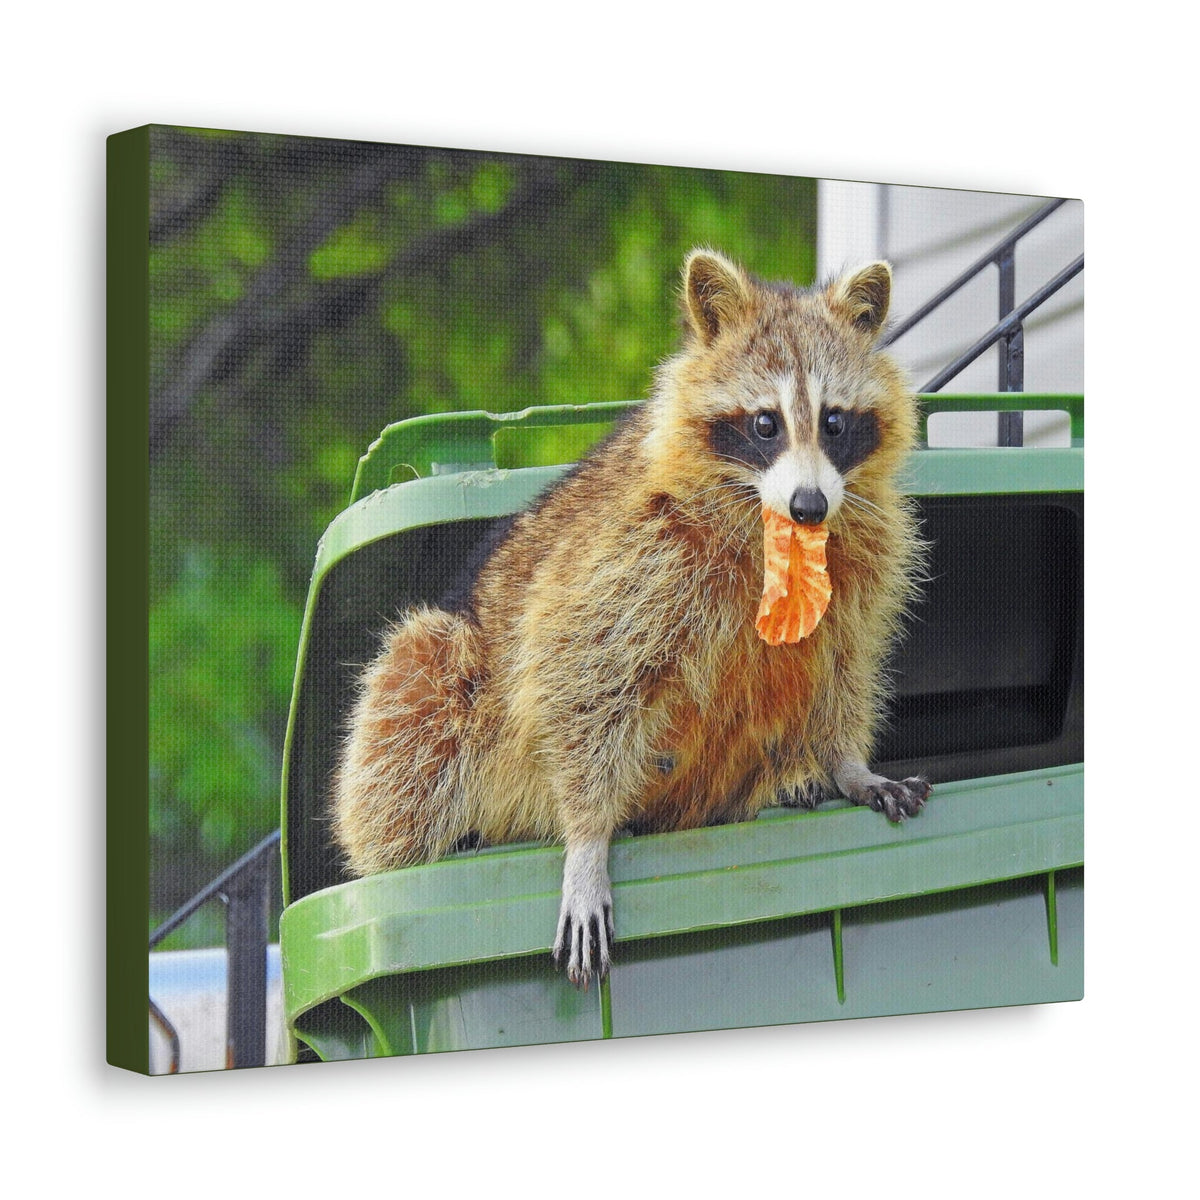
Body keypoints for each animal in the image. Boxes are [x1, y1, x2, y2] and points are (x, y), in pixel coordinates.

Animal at [332, 249, 930, 987]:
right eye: (766, 424)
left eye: (835, 422)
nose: (810, 505)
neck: (776, 527)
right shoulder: (633, 551)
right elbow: (575, 669)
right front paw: (587, 841)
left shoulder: (862, 558)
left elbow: (843, 662)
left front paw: (846, 760)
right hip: (442, 676)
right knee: (416, 686)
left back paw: (785, 777)